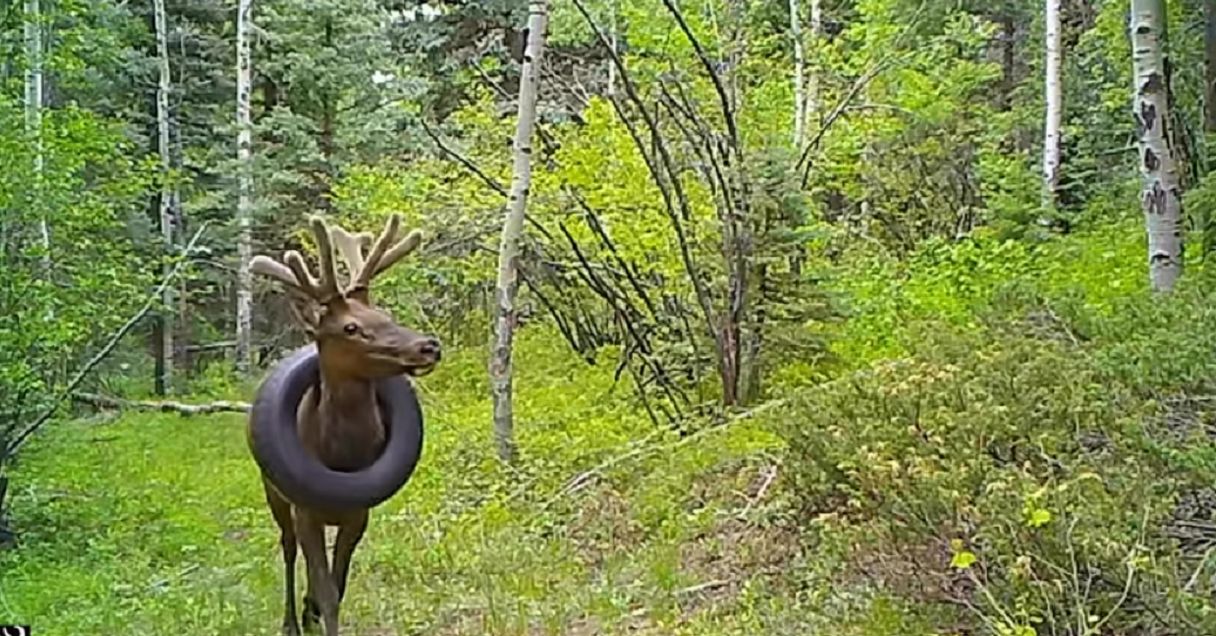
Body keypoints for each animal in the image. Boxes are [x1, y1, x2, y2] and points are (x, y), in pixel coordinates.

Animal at [244, 215, 440, 636]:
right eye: (350, 327)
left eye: (384, 315)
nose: (428, 345)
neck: (342, 456)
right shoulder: (305, 510)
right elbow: (328, 590)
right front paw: (312, 614)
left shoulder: (359, 514)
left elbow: (338, 584)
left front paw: (314, 610)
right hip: (273, 490)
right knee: (287, 549)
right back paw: (290, 621)